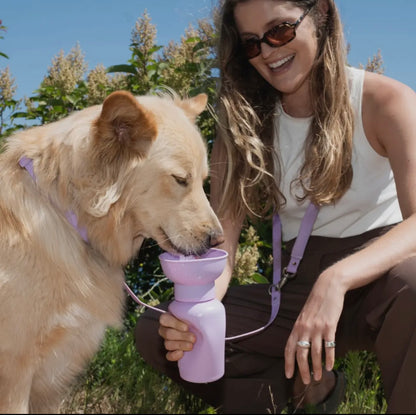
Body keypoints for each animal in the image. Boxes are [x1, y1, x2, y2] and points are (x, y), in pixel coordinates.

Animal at [0, 90, 224, 412]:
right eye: (181, 179)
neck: (66, 213)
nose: (218, 240)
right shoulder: (14, 372)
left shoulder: (52, 383)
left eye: (204, 180)